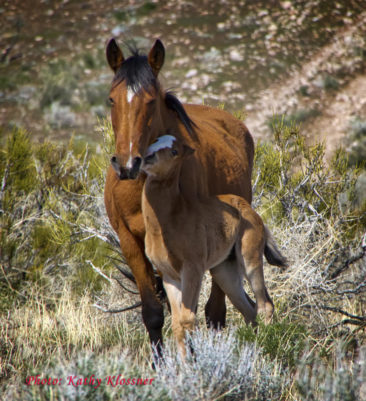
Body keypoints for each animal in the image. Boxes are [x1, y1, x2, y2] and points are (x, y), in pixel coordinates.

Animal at [141, 135, 286, 356]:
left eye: (175, 151)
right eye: (154, 141)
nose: (147, 158)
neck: (168, 221)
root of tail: (254, 214)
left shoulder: (193, 269)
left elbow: (187, 319)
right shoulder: (168, 276)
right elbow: (177, 323)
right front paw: (184, 363)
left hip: (249, 259)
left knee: (265, 305)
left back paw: (268, 347)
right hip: (224, 271)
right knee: (249, 310)